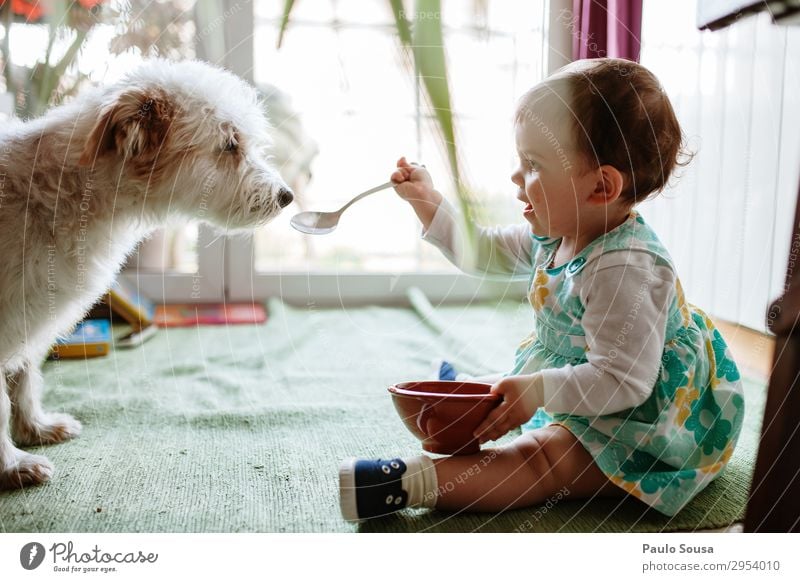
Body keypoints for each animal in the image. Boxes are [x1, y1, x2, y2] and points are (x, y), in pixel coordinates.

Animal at [0, 59, 294, 490]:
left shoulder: (31, 319)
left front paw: (35, 428)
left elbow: (24, 382)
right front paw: (11, 466)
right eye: (229, 144)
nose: (287, 196)